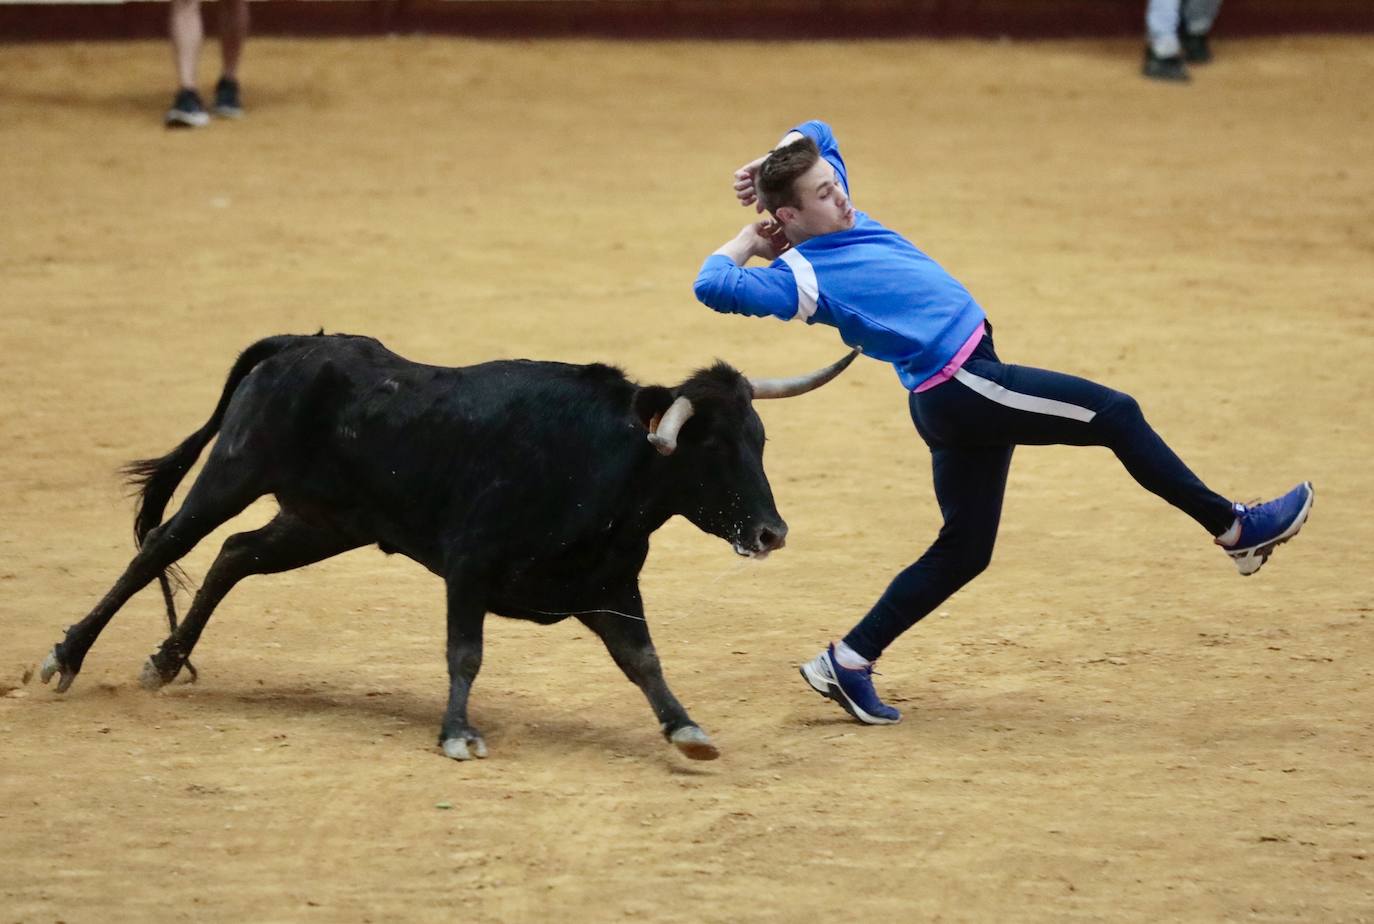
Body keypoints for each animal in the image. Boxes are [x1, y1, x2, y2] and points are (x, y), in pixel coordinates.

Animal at [40, 332, 857, 759]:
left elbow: (644, 660)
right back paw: (66, 657)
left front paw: (686, 728)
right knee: (159, 549)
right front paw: (459, 734)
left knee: (235, 554)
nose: (771, 532)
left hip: (324, 524)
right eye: (711, 450)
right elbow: (466, 651)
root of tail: (298, 344)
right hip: (234, 472)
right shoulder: (469, 568)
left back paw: (164, 660)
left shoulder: (610, 588)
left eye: (760, 440)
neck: (602, 464)